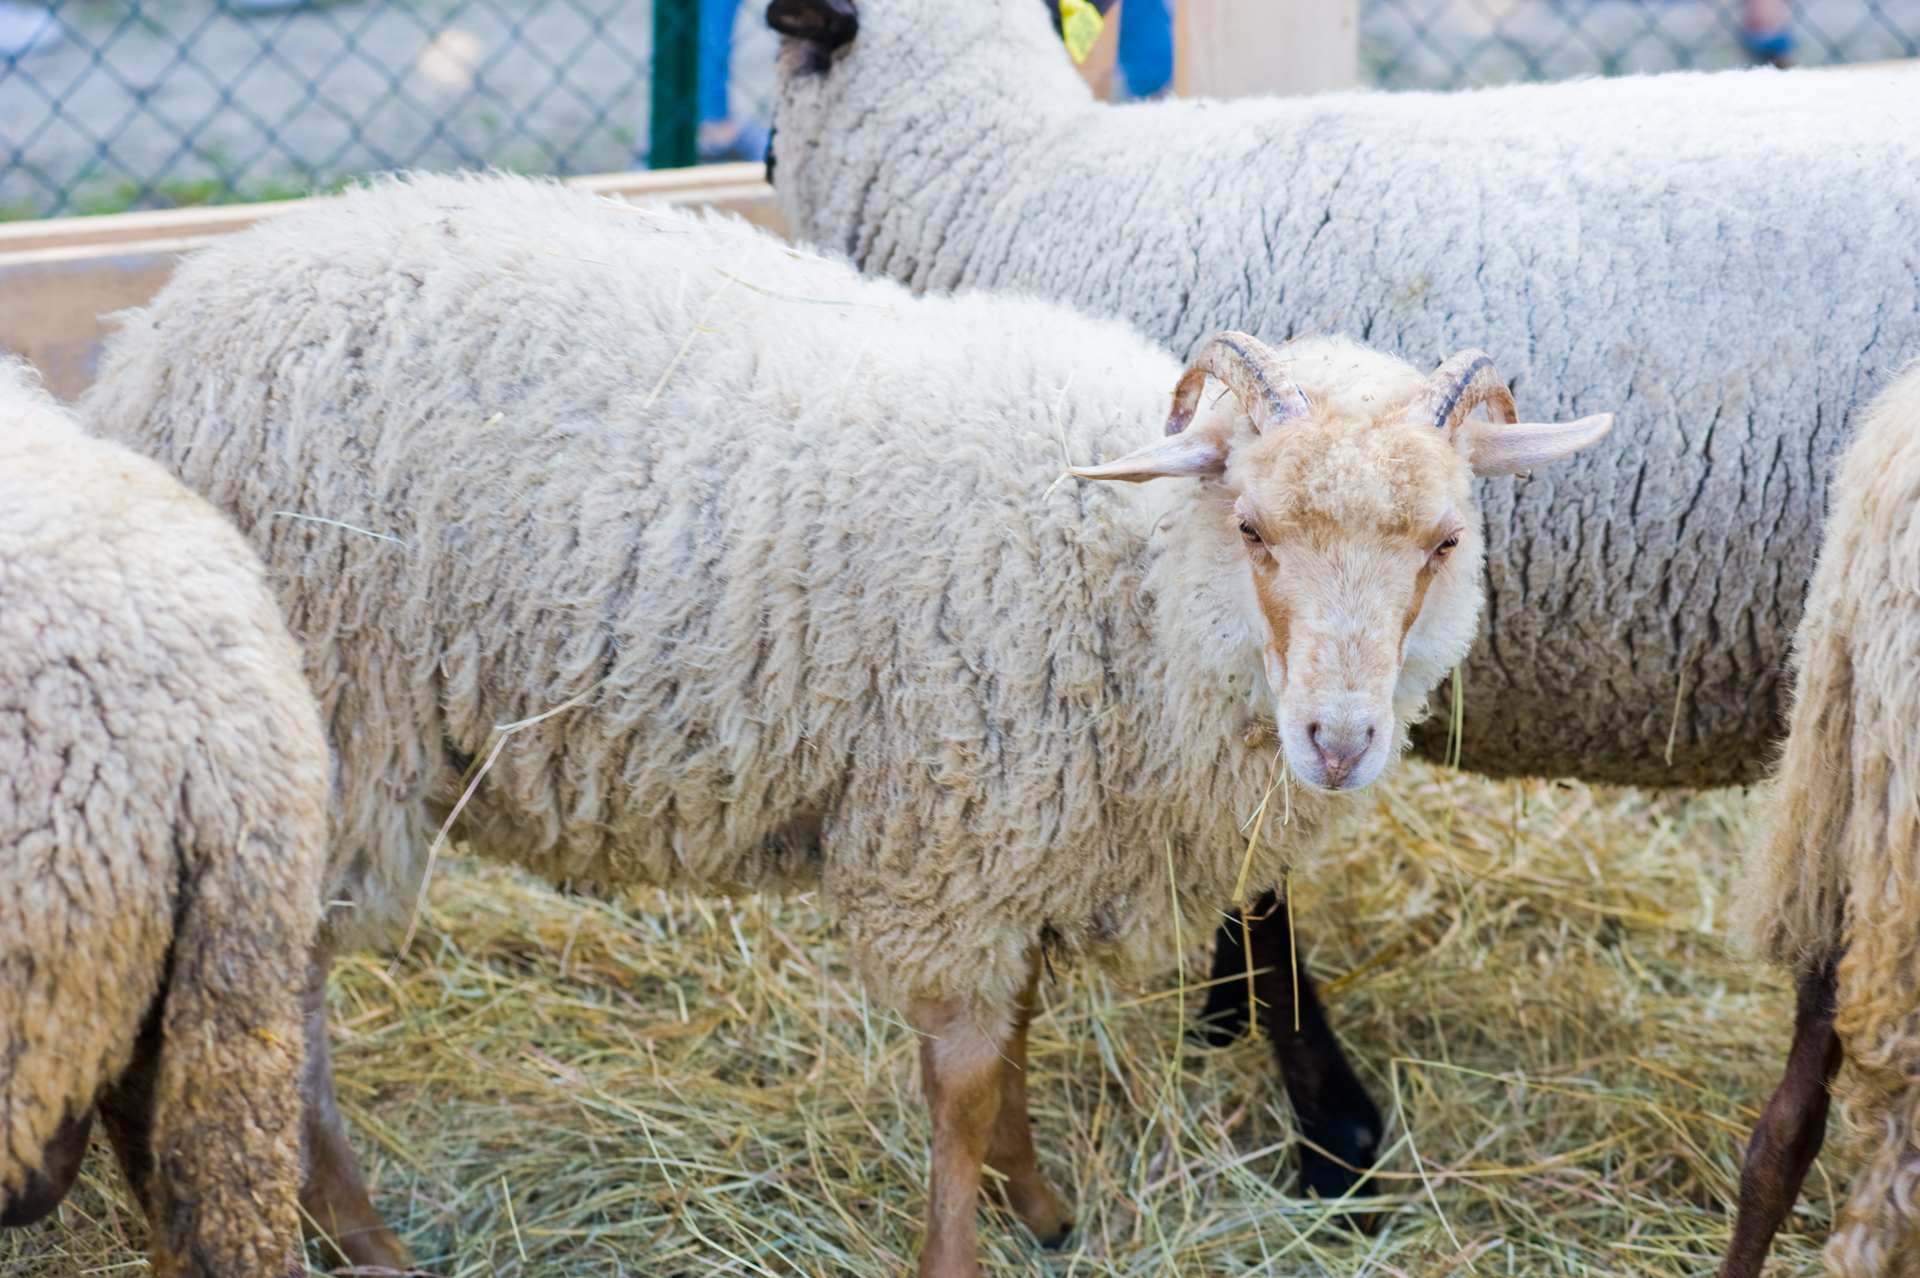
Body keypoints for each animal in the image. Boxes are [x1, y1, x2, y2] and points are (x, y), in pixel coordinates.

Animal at [78, 171, 1605, 1274]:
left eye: (1445, 539)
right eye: (1254, 528)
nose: (1338, 739)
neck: (1119, 563)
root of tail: (145, 346)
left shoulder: (1019, 837)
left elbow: (1018, 1036)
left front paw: (1045, 1207)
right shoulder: (951, 832)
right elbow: (963, 1079)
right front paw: (965, 1246)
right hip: (330, 740)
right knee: (268, 1022)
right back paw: (363, 1245)